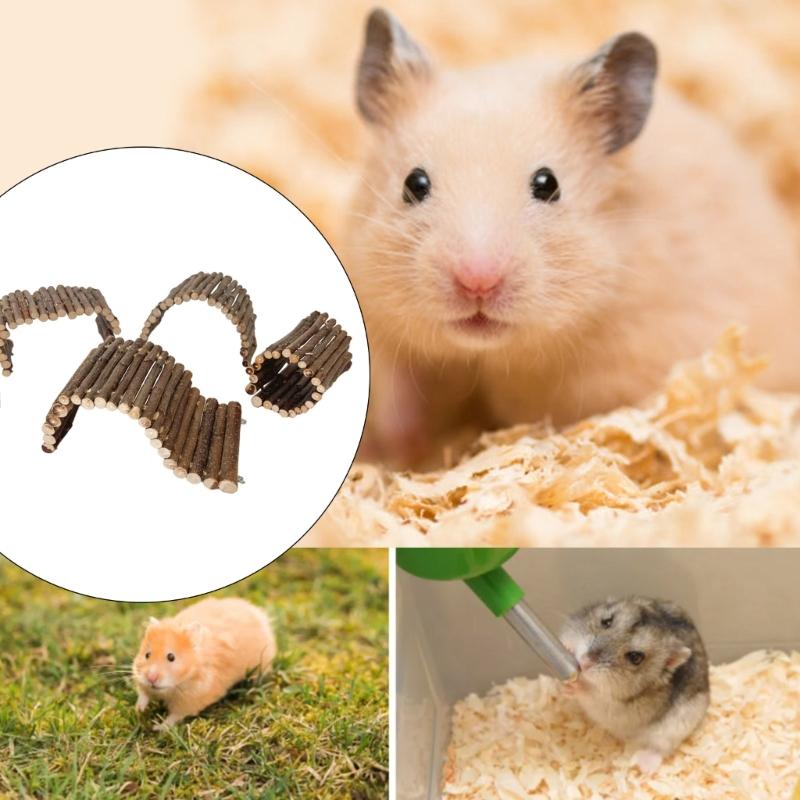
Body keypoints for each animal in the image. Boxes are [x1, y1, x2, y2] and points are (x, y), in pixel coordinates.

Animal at [132, 597, 277, 731]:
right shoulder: (142, 679)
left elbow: (175, 716)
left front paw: (157, 727)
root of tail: (258, 614)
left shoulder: (191, 700)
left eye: (171, 657)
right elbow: (143, 693)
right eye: (147, 655)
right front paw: (139, 710)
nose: (151, 678)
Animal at [349, 8, 800, 466]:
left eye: (548, 184)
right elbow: (397, 393)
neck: (491, 354)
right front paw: (400, 452)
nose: (477, 282)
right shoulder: (378, 318)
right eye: (414, 183)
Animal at [560, 596, 709, 773]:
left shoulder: (616, 709)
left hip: (673, 730)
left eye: (635, 657)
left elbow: (593, 696)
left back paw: (643, 765)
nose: (583, 663)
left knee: (661, 749)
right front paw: (568, 649)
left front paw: (575, 686)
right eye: (607, 622)